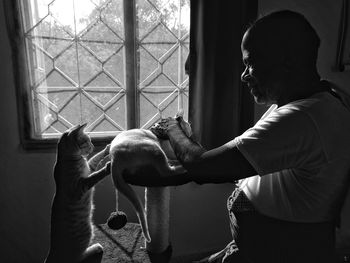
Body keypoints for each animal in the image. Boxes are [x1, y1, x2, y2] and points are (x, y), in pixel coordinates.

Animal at [45, 124, 110, 263]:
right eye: (88, 141)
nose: (93, 146)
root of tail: (52, 253)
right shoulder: (80, 186)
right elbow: (96, 175)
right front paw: (107, 168)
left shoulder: (89, 167)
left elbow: (95, 158)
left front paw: (107, 150)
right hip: (88, 231)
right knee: (78, 257)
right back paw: (95, 247)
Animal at [109, 113, 191, 243]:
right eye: (187, 125)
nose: (190, 132)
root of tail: (114, 157)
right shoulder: (167, 152)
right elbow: (172, 160)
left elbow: (173, 159)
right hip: (155, 149)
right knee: (167, 171)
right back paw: (183, 167)